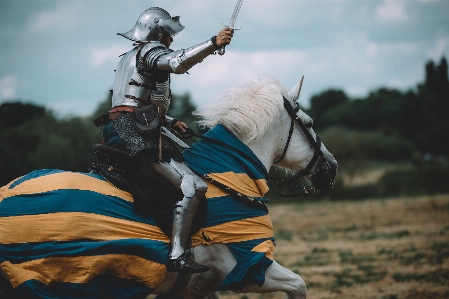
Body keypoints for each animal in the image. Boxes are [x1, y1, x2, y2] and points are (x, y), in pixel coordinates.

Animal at [0, 74, 336, 299]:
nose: (331, 168)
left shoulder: (193, 290)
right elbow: (299, 285)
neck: (232, 177)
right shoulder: (249, 269)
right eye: (309, 123)